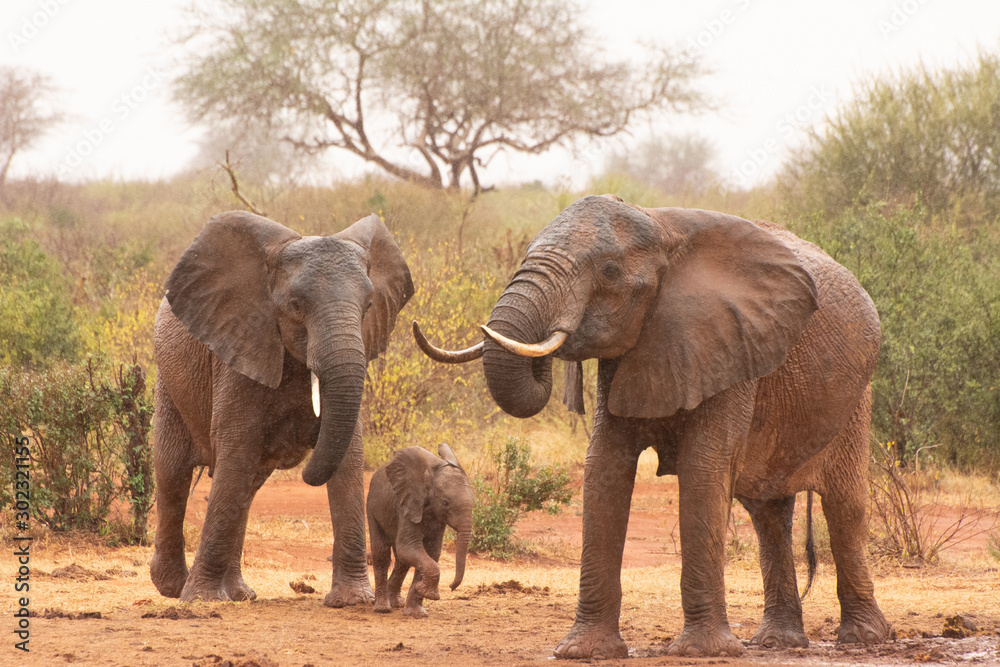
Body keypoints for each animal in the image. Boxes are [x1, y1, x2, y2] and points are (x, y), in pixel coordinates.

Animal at [149, 213, 414, 604]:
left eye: (368, 307)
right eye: (296, 306)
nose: (306, 470)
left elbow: (348, 455)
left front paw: (352, 600)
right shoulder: (240, 344)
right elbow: (237, 447)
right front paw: (201, 600)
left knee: (245, 485)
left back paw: (239, 593)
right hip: (168, 381)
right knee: (174, 472)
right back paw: (173, 587)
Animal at [366, 446, 474, 620]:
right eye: (445, 503)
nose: (451, 587)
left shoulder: (437, 519)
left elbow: (431, 553)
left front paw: (416, 611)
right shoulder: (407, 507)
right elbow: (408, 547)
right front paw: (427, 592)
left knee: (402, 561)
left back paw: (396, 603)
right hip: (372, 506)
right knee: (382, 553)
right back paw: (383, 608)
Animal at [414, 196, 892, 660]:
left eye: (609, 271)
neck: (662, 227)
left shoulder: (731, 346)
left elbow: (703, 470)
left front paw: (702, 652)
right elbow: (604, 467)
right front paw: (583, 651)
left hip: (857, 397)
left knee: (845, 504)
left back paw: (863, 639)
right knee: (767, 513)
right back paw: (778, 642)